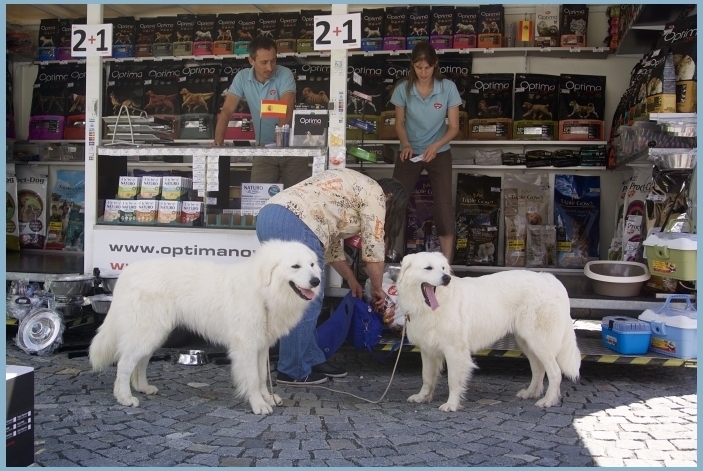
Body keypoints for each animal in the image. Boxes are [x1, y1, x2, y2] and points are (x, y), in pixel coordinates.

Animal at [88, 242, 322, 414]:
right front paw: (259, 405)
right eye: (295, 266)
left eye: (311, 264)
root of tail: (128, 272)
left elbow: (262, 376)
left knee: (141, 363)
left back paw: (144, 388)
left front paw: (268, 398)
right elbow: (253, 379)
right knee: (124, 364)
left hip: (155, 334)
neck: (264, 291)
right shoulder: (246, 346)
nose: (316, 281)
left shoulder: (261, 345)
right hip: (147, 332)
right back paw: (125, 397)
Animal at [396, 253, 584, 412]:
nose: (446, 278)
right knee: (539, 369)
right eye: (428, 268)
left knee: (555, 372)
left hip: (540, 341)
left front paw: (452, 404)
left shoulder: (455, 350)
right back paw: (530, 393)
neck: (432, 305)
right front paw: (422, 397)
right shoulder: (427, 350)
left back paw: (548, 400)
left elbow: (453, 380)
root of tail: (549, 278)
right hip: (527, 342)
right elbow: (427, 377)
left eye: (443, 268)